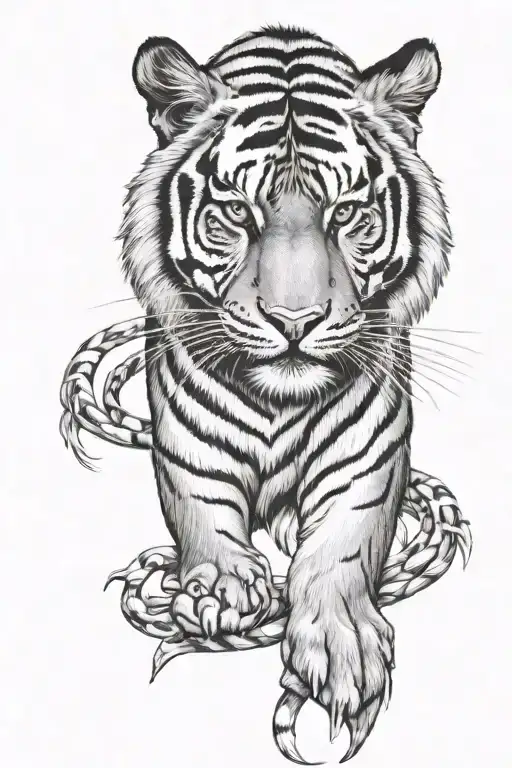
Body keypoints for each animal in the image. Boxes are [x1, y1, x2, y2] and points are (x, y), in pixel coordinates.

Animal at [68, 24, 461, 764]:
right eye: (235, 213)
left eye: (347, 213)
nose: (294, 322)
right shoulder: (188, 450)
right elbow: (202, 514)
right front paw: (222, 587)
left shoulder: (367, 460)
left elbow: (341, 544)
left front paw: (341, 647)